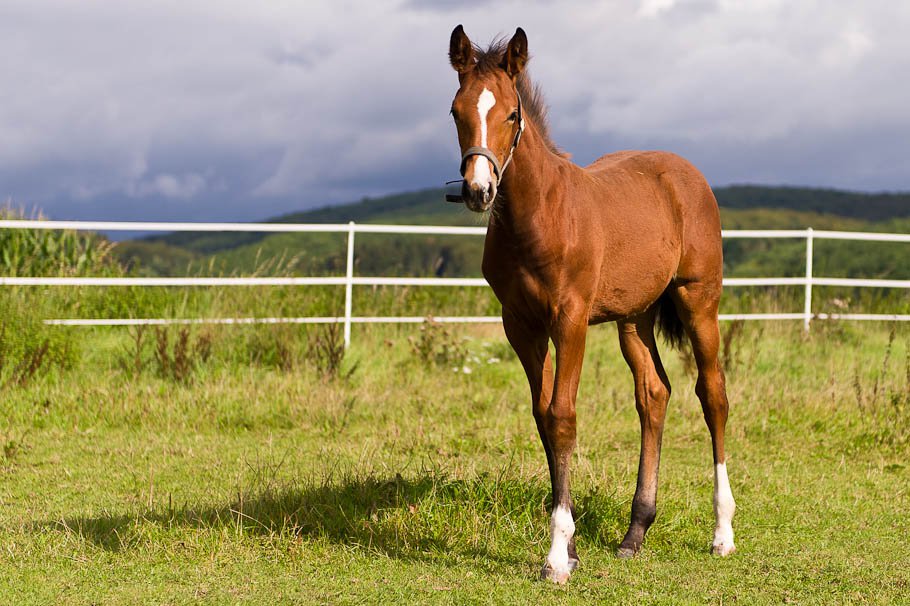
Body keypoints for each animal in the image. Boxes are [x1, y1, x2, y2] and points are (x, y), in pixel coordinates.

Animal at [447, 25, 736, 584]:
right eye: (455, 111)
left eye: (511, 114)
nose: (478, 190)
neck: (540, 217)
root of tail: (685, 172)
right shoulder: (520, 325)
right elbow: (542, 418)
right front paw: (574, 544)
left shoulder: (570, 318)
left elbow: (563, 416)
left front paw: (558, 556)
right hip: (634, 317)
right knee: (654, 393)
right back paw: (635, 532)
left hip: (698, 299)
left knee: (712, 394)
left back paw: (722, 533)